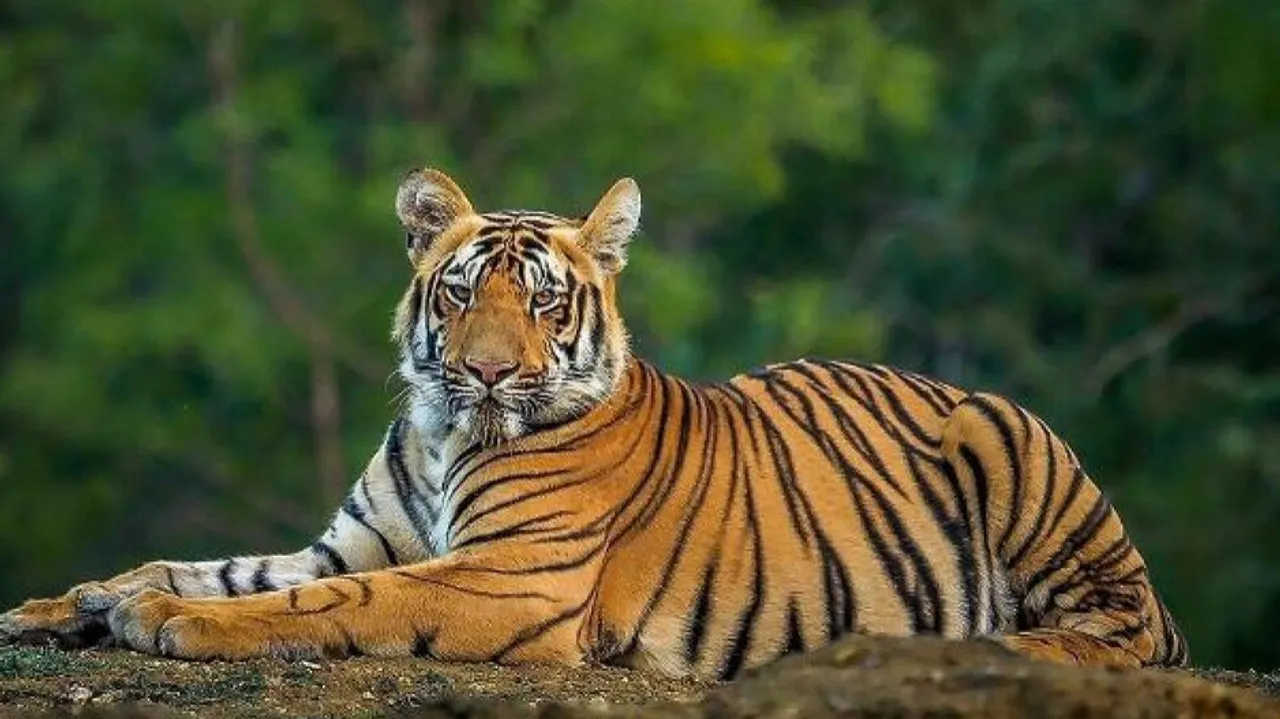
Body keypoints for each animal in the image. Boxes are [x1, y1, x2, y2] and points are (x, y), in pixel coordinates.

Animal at [0, 168, 1187, 678]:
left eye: (542, 303)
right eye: (459, 293)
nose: (485, 372)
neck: (442, 431)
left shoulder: (510, 576)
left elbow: (326, 600)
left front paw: (164, 621)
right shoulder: (348, 539)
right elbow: (211, 563)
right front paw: (70, 603)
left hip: (1012, 445)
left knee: (1120, 632)